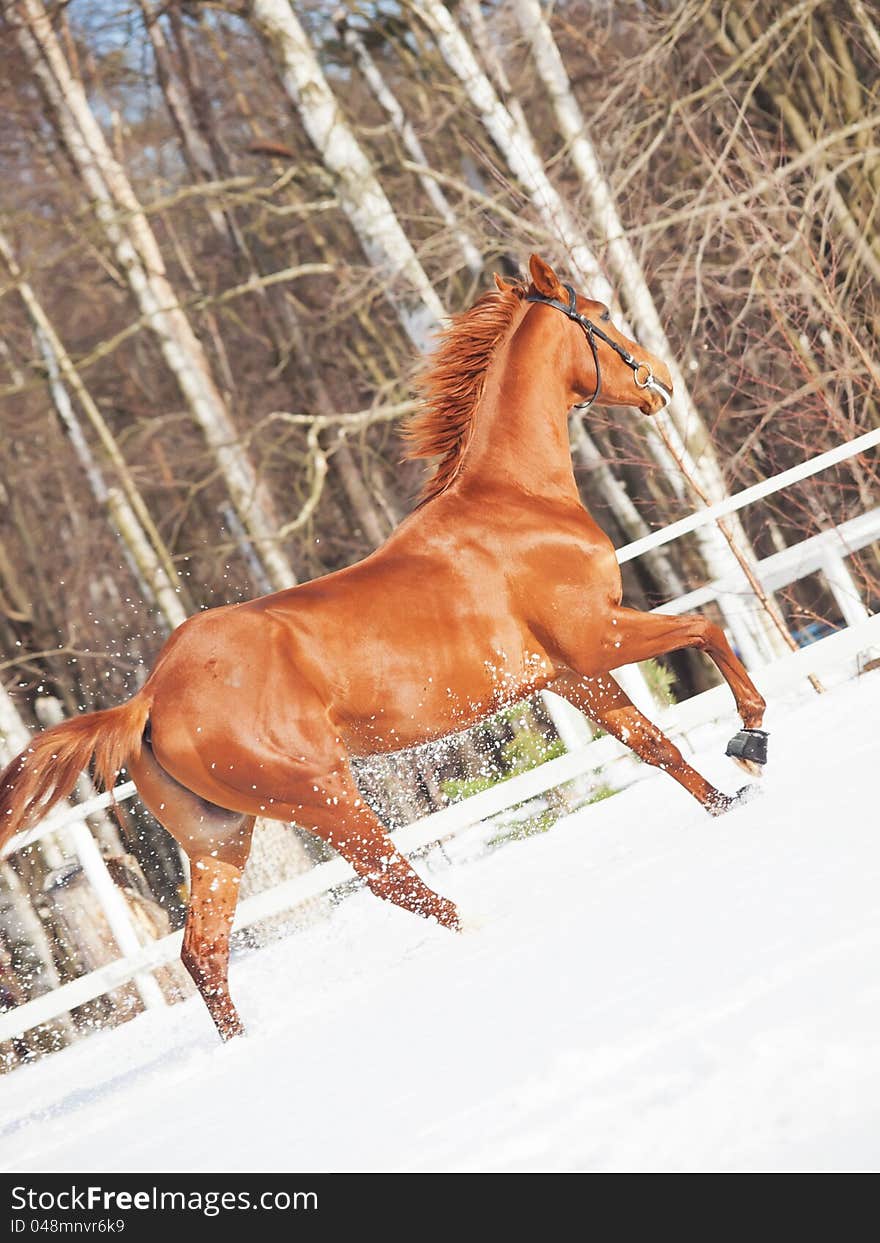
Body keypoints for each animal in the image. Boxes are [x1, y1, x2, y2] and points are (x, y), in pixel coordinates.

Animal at [0, 254, 760, 1039]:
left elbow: (653, 743)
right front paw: (751, 740)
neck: (516, 500)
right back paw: (482, 929)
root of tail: (151, 694)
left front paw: (727, 802)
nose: (659, 378)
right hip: (326, 797)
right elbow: (707, 630)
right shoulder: (597, 637)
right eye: (603, 315)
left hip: (220, 838)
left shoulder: (568, 674)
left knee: (203, 953)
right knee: (389, 880)